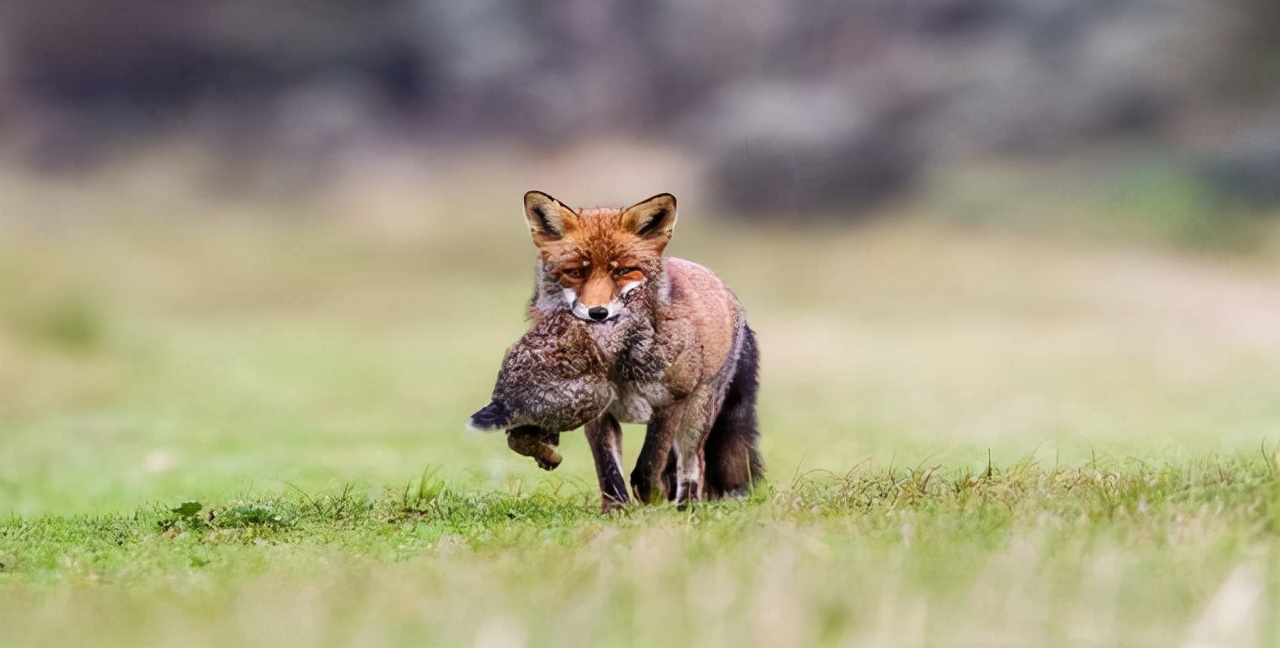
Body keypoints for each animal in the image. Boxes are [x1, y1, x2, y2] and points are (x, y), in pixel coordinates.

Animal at [519, 189, 757, 509]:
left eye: (624, 270)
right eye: (575, 272)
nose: (597, 313)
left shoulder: (670, 402)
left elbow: (649, 463)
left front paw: (652, 499)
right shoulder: (598, 411)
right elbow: (608, 467)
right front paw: (616, 509)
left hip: (698, 414)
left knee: (694, 462)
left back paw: (687, 506)